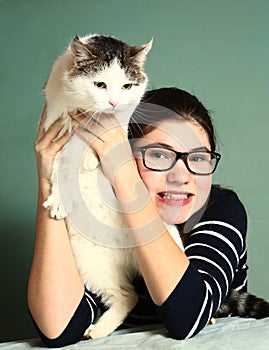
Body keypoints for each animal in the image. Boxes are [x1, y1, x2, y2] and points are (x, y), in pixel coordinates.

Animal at [42, 32, 184, 340]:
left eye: (127, 86)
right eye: (100, 84)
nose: (114, 102)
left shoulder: (121, 119)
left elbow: (105, 135)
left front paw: (90, 159)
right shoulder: (54, 124)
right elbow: (59, 161)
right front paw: (58, 197)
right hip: (91, 263)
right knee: (125, 296)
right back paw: (97, 330)